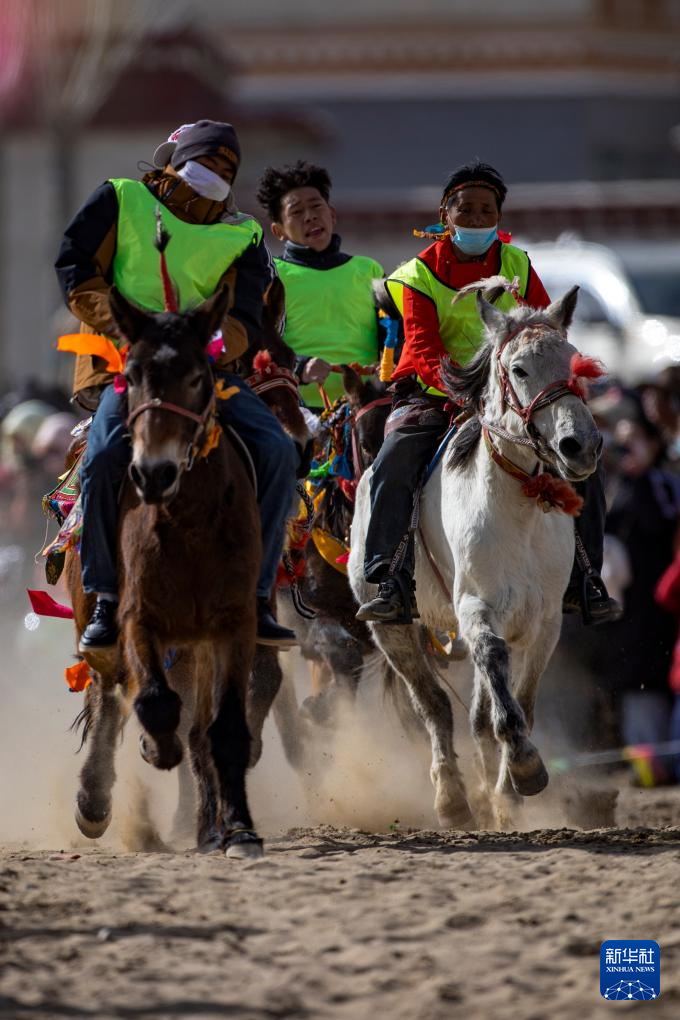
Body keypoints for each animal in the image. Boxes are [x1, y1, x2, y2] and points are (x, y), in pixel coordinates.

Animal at [67, 283, 264, 858]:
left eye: (199, 376)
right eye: (129, 376)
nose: (153, 473)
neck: (189, 524)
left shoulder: (234, 624)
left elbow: (224, 729)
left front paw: (238, 829)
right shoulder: (139, 619)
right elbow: (153, 703)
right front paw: (156, 748)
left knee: (195, 725)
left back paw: (208, 825)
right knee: (106, 694)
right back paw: (94, 800)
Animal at [348, 283, 603, 829]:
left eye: (574, 360)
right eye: (520, 369)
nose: (580, 445)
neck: (520, 512)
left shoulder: (545, 621)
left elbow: (520, 703)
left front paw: (511, 784)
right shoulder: (474, 609)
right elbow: (494, 687)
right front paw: (524, 768)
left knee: (477, 714)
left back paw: (492, 798)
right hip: (392, 630)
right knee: (434, 708)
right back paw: (453, 799)